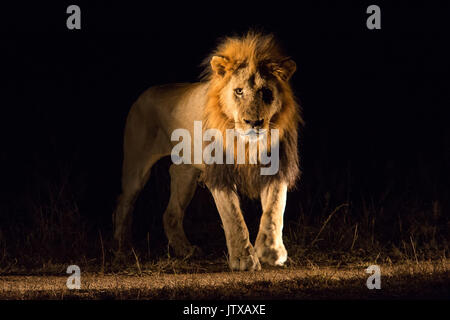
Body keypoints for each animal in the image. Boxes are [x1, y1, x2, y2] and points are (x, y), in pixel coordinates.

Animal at [113, 31, 302, 270]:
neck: (248, 144)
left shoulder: (277, 166)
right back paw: (121, 249)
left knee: (170, 213)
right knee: (124, 202)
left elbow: (274, 210)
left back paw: (185, 251)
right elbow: (233, 217)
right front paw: (243, 259)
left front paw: (271, 251)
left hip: (186, 174)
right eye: (238, 91)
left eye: (267, 92)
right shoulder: (219, 172)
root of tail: (146, 92)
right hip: (136, 167)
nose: (254, 123)